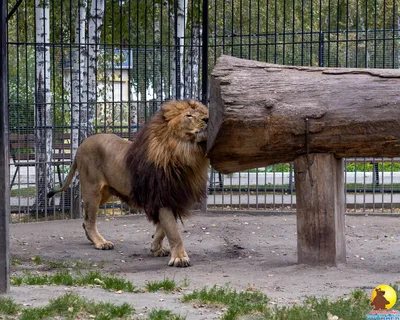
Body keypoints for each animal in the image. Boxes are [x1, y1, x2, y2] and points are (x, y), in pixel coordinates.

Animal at [47, 100, 209, 268]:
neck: (183, 152)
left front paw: (156, 248)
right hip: (92, 190)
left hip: (105, 193)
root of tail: (81, 145)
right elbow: (173, 230)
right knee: (89, 221)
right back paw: (101, 243)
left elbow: (163, 227)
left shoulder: (173, 197)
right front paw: (179, 258)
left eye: (205, 113)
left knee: (86, 221)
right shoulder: (161, 195)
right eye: (189, 115)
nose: (207, 119)